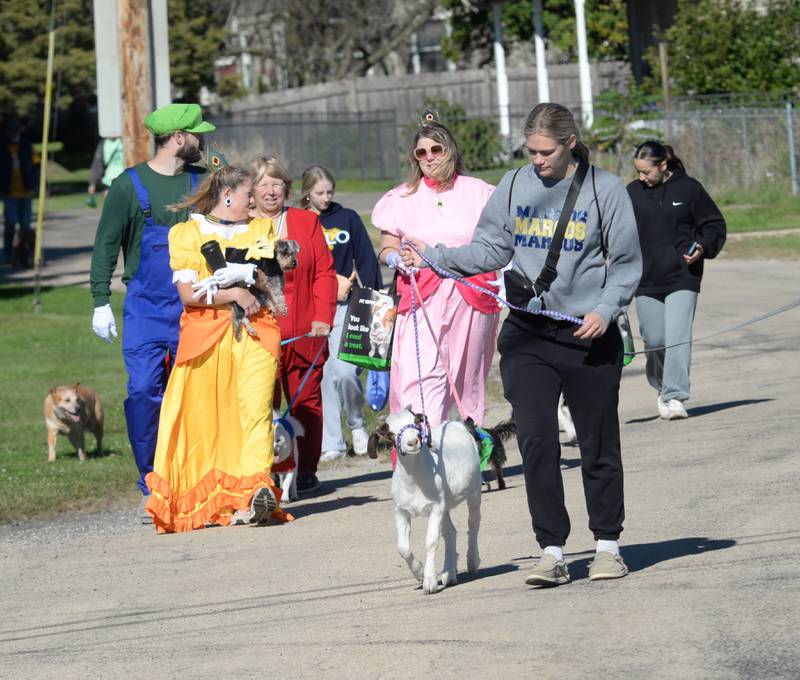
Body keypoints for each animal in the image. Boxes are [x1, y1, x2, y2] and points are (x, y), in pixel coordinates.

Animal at [368, 410, 482, 596]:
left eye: (416, 422)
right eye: (390, 432)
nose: (412, 442)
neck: (415, 481)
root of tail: (454, 423)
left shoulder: (435, 508)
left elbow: (431, 541)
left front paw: (429, 582)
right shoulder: (401, 510)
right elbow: (402, 547)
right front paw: (420, 573)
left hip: (474, 491)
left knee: (473, 523)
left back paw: (472, 561)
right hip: (445, 507)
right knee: (450, 532)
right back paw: (449, 574)